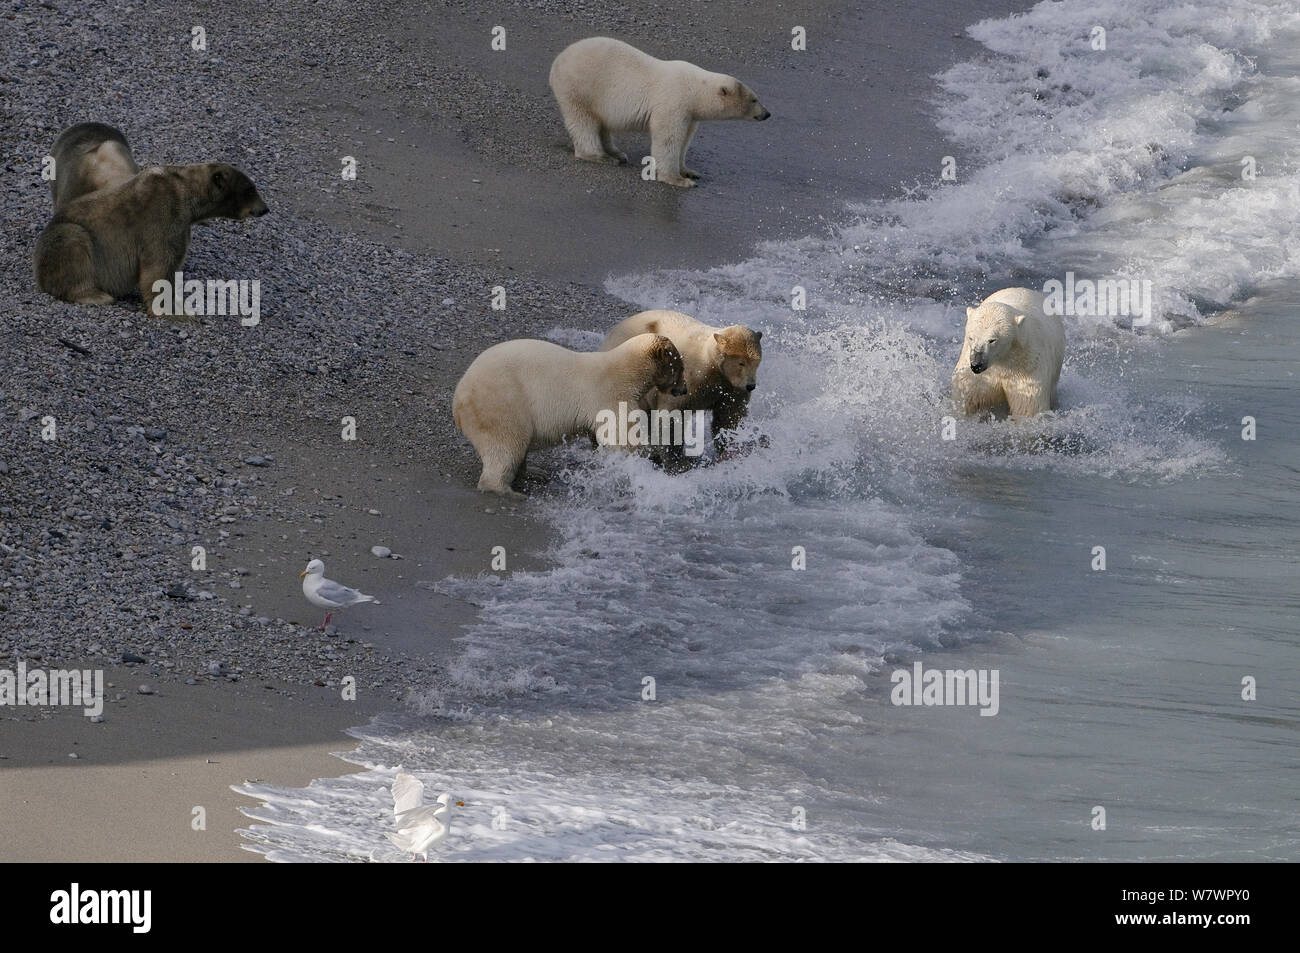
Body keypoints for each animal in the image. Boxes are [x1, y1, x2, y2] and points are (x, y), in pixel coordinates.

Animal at [452, 335, 686, 499]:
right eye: (680, 367)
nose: (683, 389)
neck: (625, 371)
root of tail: (458, 400)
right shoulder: (609, 394)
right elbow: (622, 435)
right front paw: (645, 459)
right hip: (501, 404)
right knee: (506, 444)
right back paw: (508, 491)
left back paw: (535, 472)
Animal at [548, 36, 769, 187]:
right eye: (754, 99)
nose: (767, 114)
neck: (694, 89)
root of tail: (557, 60)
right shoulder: (674, 102)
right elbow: (668, 138)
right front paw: (678, 180)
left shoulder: (690, 115)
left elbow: (685, 140)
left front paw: (689, 171)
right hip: (580, 89)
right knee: (584, 122)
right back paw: (602, 156)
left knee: (601, 123)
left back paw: (617, 153)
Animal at [598, 308, 759, 439]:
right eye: (741, 363)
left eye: (757, 362)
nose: (751, 386)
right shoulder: (687, 379)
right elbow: (670, 417)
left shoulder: (730, 389)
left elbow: (729, 417)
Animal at [951, 284, 1060, 413]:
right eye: (971, 337)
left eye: (992, 340)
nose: (976, 365)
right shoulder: (977, 377)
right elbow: (968, 397)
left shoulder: (1027, 367)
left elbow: (1028, 406)